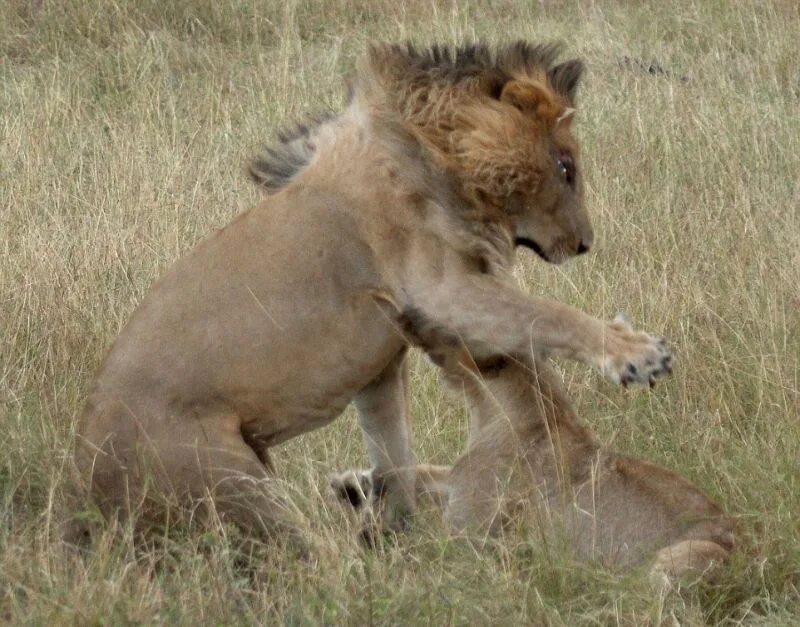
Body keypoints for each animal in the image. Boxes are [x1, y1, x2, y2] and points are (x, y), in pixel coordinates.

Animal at [78, 41, 672, 544]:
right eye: (566, 167)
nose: (585, 244)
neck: (436, 154)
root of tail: (81, 472)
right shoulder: (441, 292)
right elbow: (549, 315)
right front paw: (636, 355)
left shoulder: (381, 361)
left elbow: (394, 451)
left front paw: (394, 534)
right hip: (233, 482)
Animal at [328, 312, 736, 588]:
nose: (408, 316)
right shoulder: (459, 482)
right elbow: (419, 472)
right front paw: (350, 484)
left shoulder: (469, 534)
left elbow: (429, 547)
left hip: (682, 557)